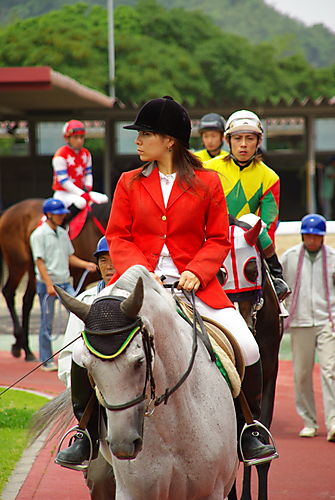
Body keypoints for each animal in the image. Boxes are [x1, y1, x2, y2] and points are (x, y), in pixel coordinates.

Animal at [0, 197, 113, 362]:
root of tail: (9, 211)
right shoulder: (80, 279)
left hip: (33, 271)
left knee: (27, 301)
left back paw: (24, 349)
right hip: (18, 263)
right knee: (8, 292)